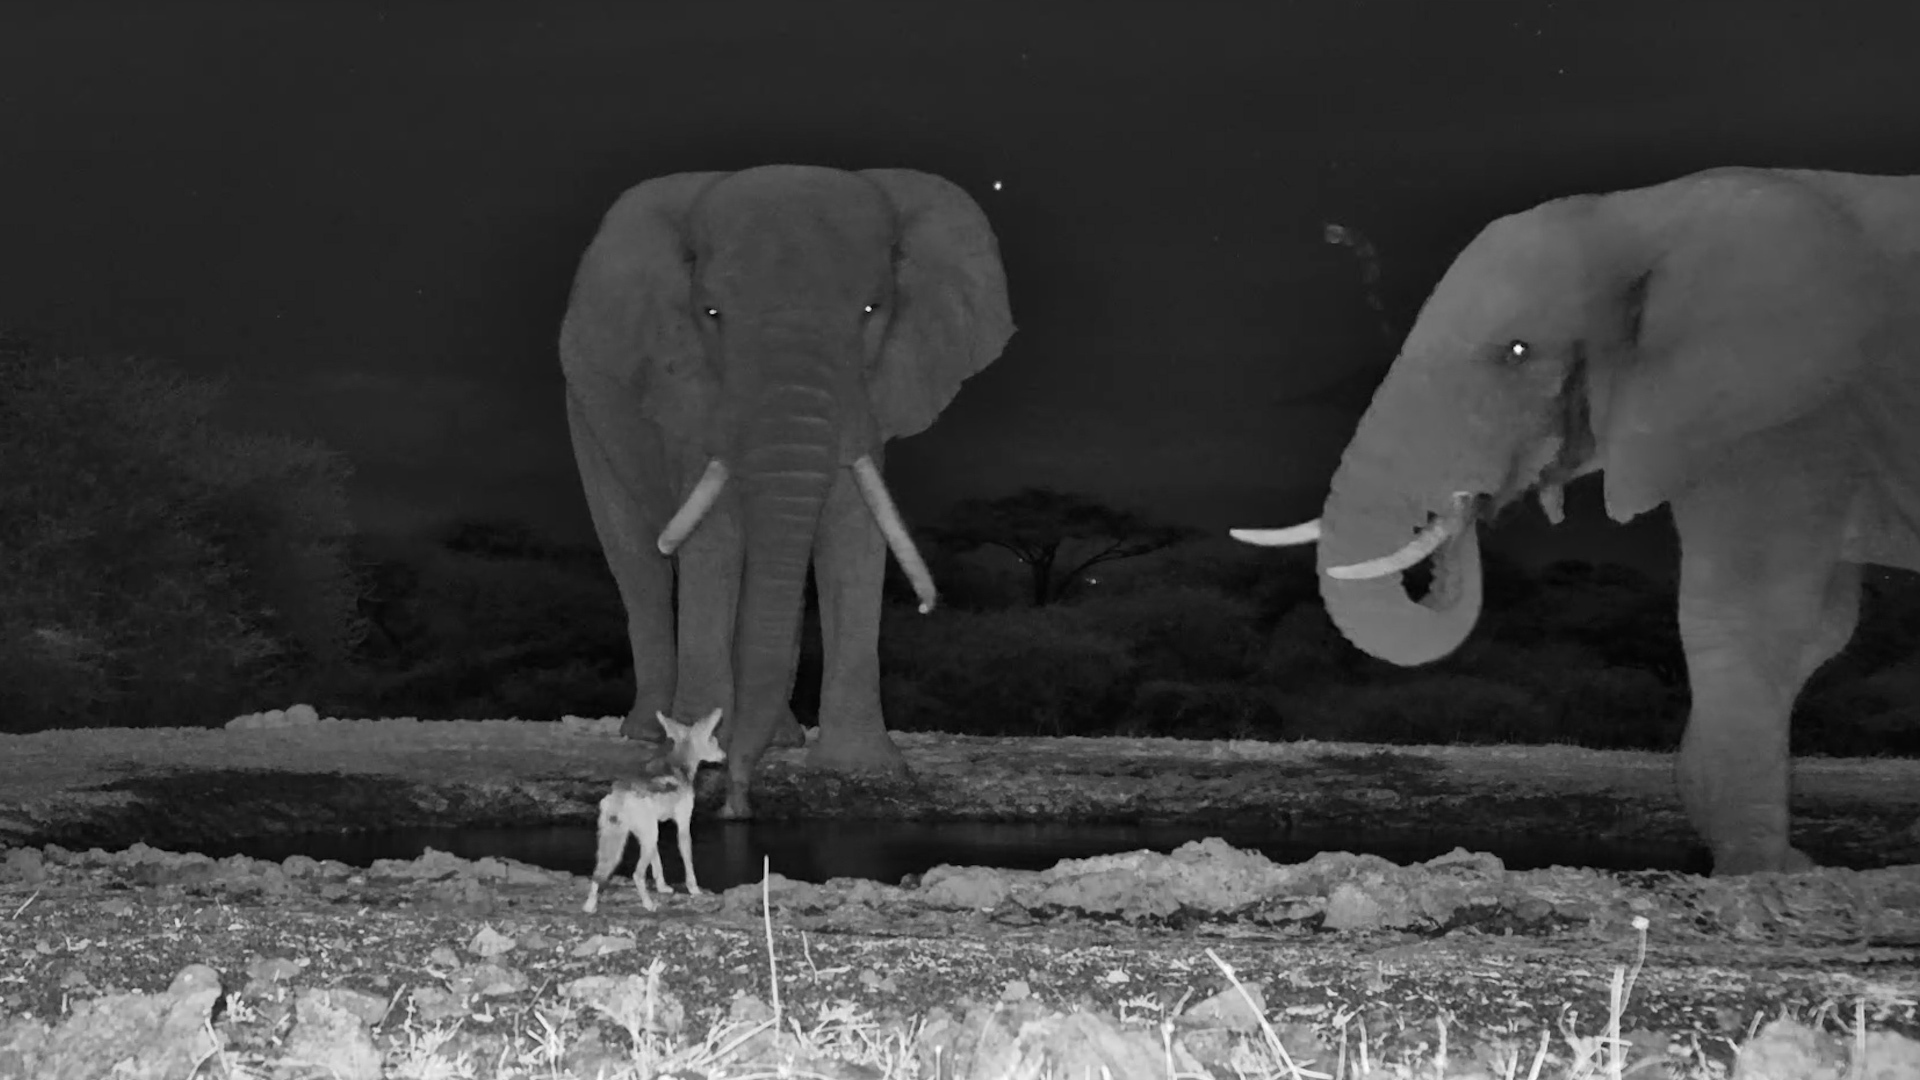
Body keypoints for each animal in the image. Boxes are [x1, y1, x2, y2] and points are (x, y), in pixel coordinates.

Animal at [559, 164, 1014, 818]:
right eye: (711, 312)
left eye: (872, 310)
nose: (737, 803)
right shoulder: (691, 384)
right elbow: (714, 545)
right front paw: (689, 753)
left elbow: (852, 536)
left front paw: (863, 771)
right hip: (587, 414)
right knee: (639, 565)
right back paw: (648, 732)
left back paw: (779, 738)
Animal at [1233, 167, 1920, 876]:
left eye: (1517, 352)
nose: (1470, 502)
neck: (1643, 213)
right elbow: (1821, 630)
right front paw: (1792, 868)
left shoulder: (1785, 416)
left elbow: (1749, 622)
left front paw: (1763, 874)